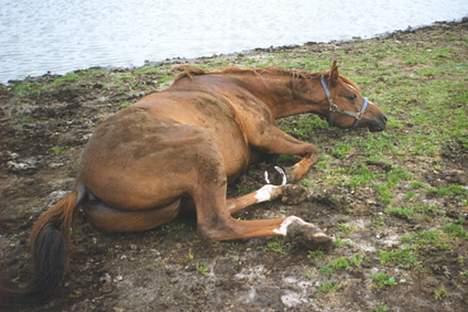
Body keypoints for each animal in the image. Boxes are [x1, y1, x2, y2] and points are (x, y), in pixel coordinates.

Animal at [0, 61, 388, 304]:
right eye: (351, 96)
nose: (382, 119)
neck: (242, 88)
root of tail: (82, 183)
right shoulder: (265, 134)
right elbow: (312, 149)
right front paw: (292, 173)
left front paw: (283, 178)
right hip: (203, 149)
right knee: (215, 223)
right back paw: (297, 226)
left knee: (212, 209)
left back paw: (276, 190)